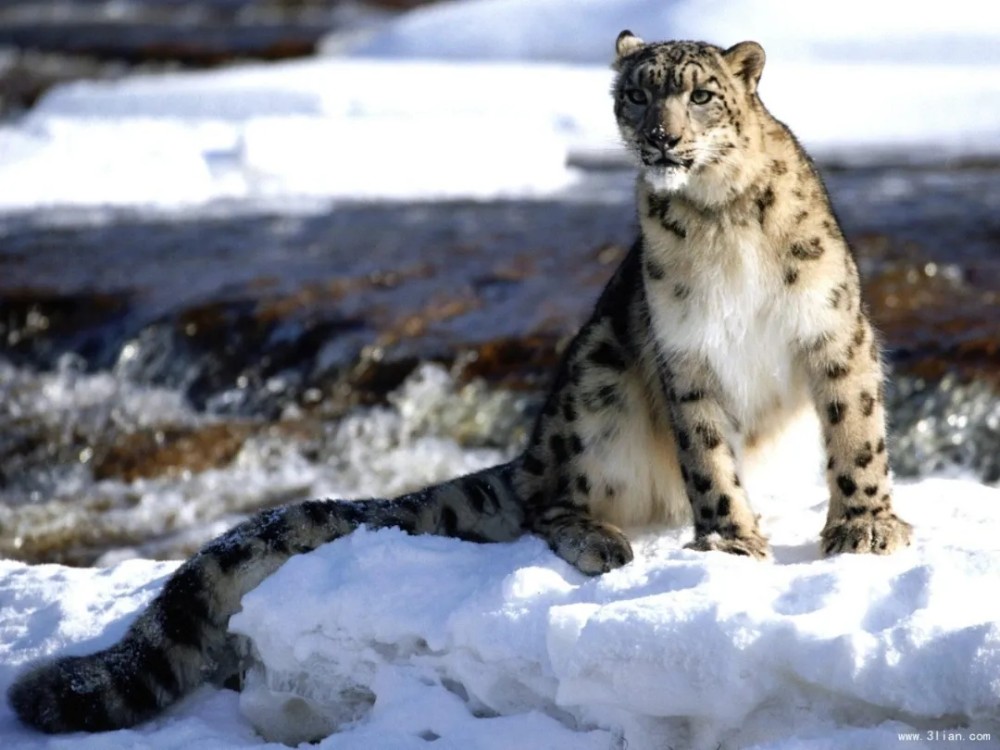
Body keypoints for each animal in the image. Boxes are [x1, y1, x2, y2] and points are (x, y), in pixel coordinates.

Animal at [9, 33, 916, 736]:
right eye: (636, 95)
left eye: (701, 94)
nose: (662, 139)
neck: (720, 221)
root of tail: (535, 450)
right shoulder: (683, 357)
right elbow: (707, 458)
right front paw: (731, 542)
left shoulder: (833, 329)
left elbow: (856, 429)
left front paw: (865, 526)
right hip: (596, 381)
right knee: (552, 500)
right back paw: (600, 538)